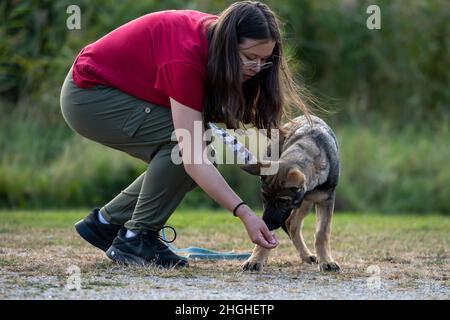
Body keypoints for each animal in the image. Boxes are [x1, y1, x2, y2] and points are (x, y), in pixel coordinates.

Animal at [241, 116, 340, 272]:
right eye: (264, 197)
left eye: (283, 201)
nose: (267, 224)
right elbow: (267, 235)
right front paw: (256, 259)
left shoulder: (326, 199)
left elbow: (322, 233)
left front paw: (326, 261)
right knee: (291, 223)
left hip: (307, 202)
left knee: (292, 223)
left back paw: (307, 255)